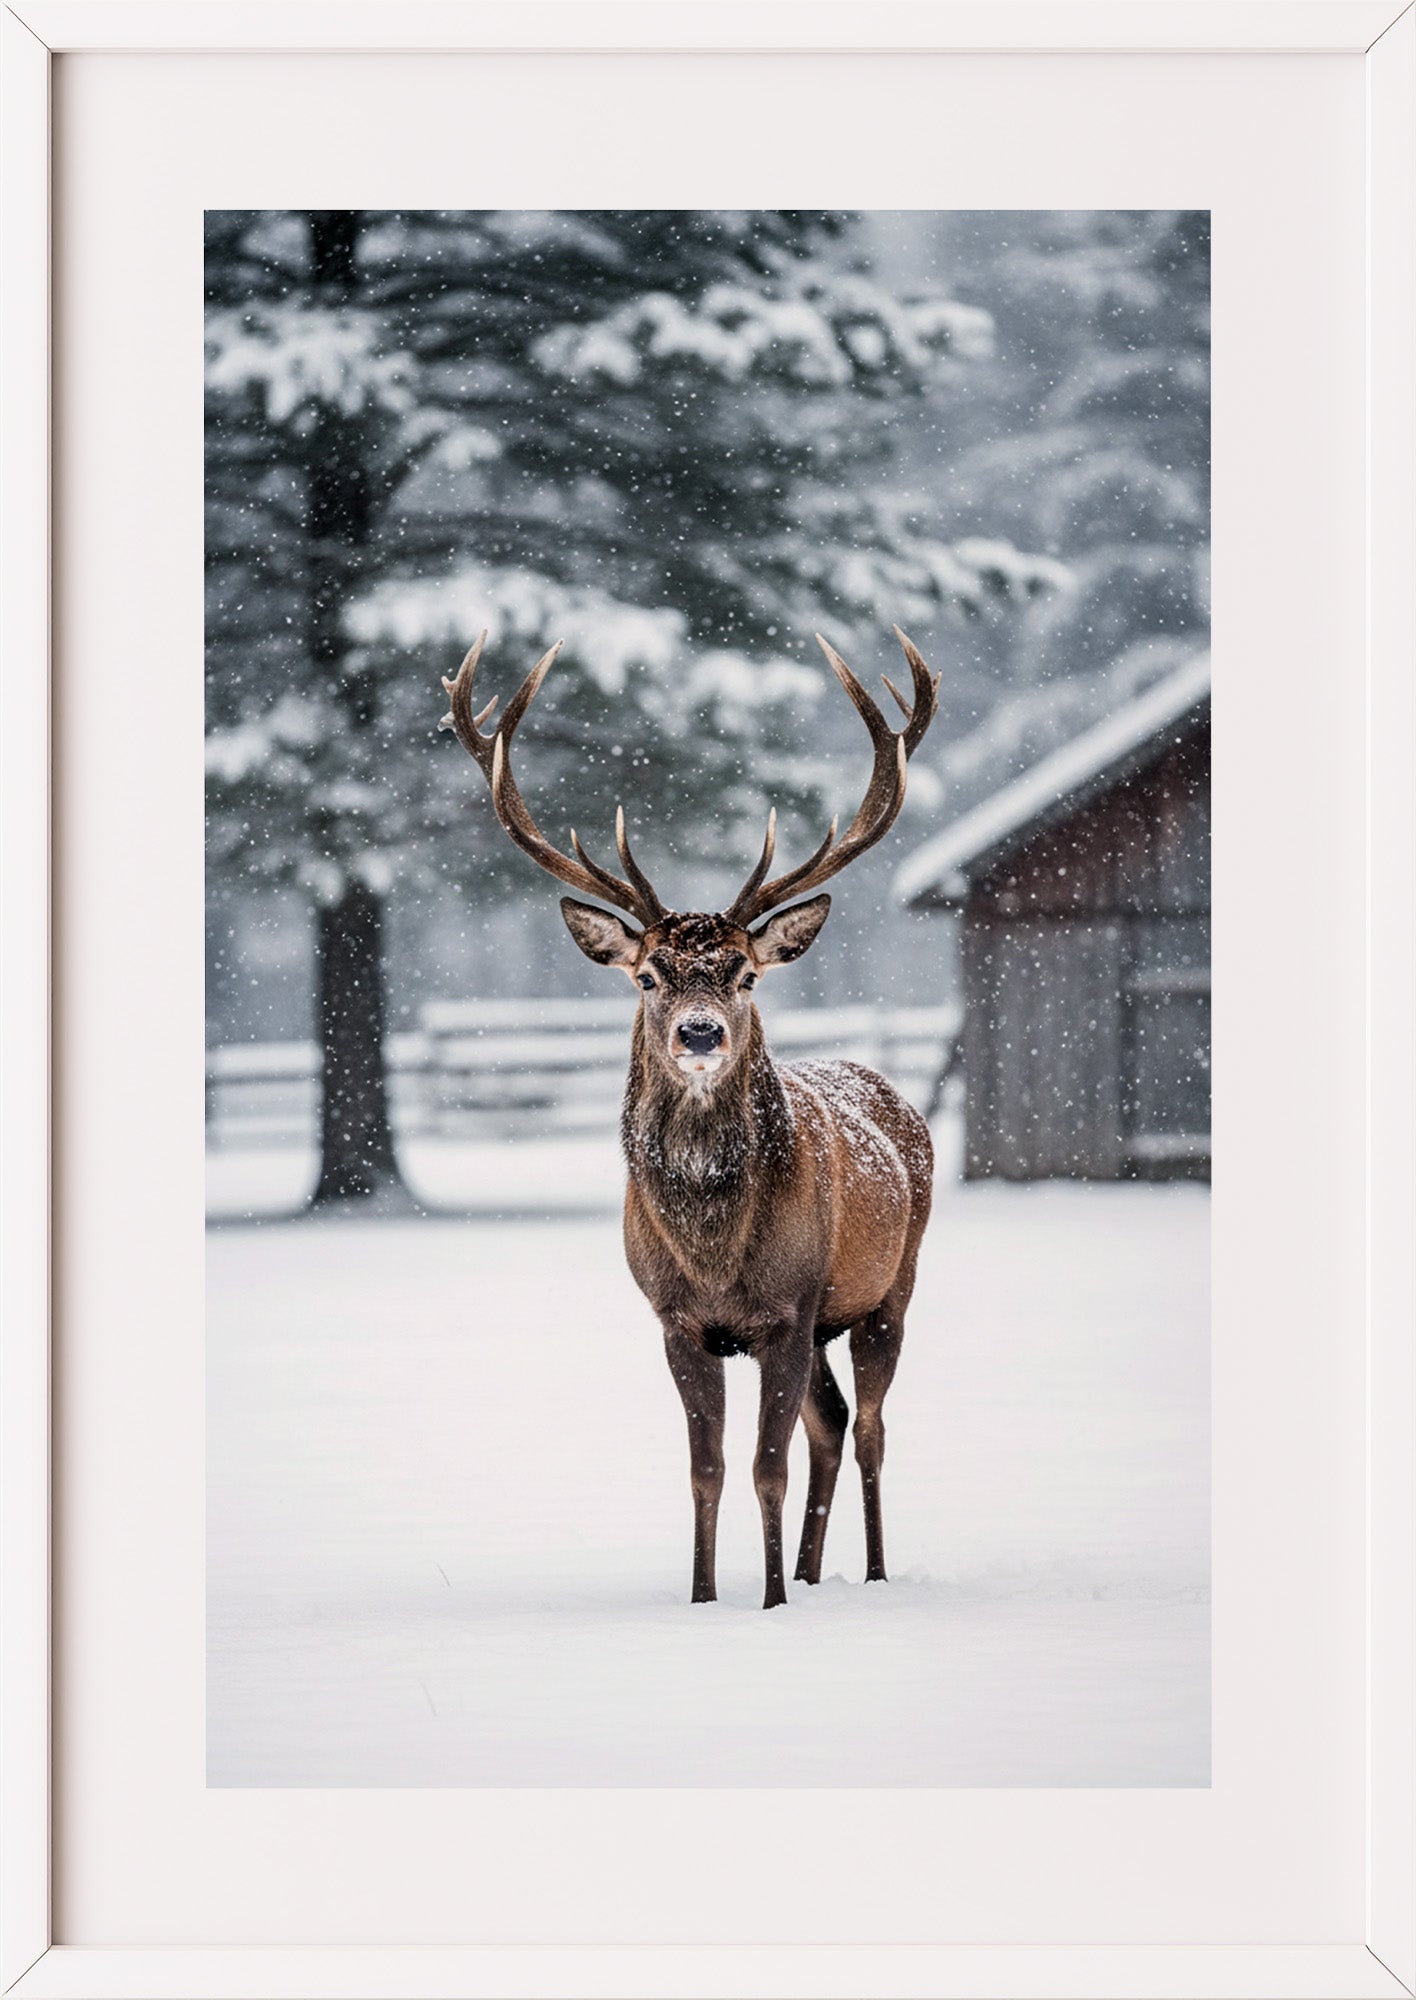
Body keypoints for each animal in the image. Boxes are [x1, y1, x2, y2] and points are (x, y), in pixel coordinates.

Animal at [439, 625, 939, 1609]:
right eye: (647, 975)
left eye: (744, 973)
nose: (700, 1031)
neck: (714, 1250)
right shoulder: (677, 1321)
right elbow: (707, 1469)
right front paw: (708, 1600)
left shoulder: (786, 1308)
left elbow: (763, 1468)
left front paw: (771, 1603)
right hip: (824, 1322)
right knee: (831, 1424)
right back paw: (817, 1574)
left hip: (888, 1286)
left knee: (868, 1427)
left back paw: (866, 1574)